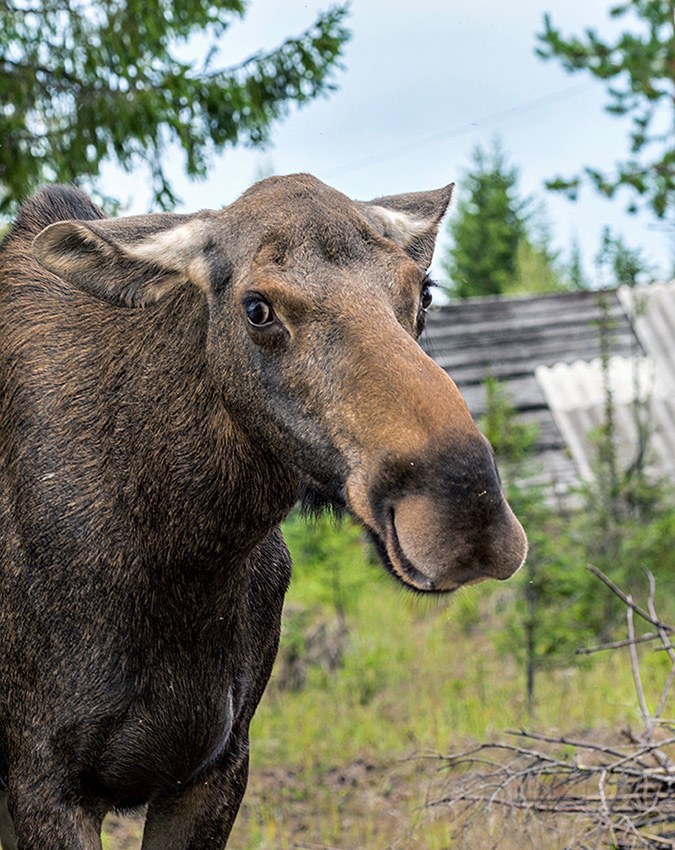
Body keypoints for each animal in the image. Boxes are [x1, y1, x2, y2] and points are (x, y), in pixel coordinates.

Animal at [0, 174, 528, 848]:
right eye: (257, 308)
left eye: (425, 293)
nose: (466, 514)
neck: (185, 562)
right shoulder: (45, 783)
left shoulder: (218, 767)